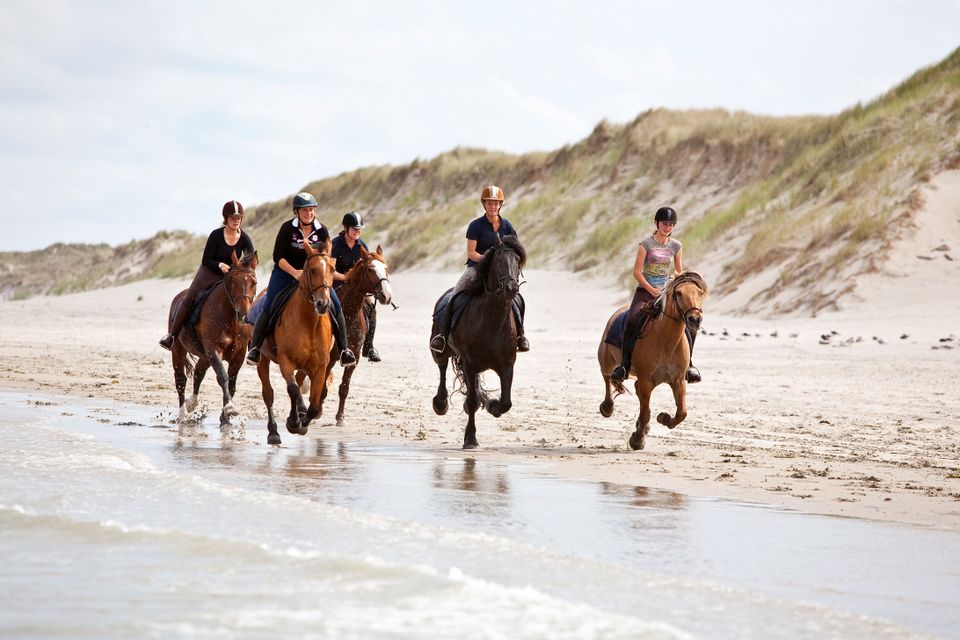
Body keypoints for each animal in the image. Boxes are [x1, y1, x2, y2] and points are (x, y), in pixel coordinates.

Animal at [167, 251, 258, 426]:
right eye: (233, 281)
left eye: (254, 282)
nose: (243, 315)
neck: (231, 320)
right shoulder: (214, 350)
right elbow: (223, 377)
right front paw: (229, 408)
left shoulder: (238, 355)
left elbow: (232, 384)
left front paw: (226, 418)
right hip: (178, 350)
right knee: (180, 380)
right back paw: (182, 415)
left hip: (204, 356)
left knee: (198, 373)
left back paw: (192, 403)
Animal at [254, 240, 336, 445]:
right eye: (312, 270)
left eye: (332, 268)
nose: (323, 304)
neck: (309, 323)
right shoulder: (286, 361)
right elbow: (291, 389)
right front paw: (293, 423)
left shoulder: (320, 368)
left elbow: (314, 405)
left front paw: (302, 423)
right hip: (263, 359)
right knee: (269, 394)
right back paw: (273, 432)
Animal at [319, 244, 393, 427]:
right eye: (370, 268)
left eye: (386, 268)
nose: (387, 296)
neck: (347, 315)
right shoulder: (330, 357)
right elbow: (322, 384)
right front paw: (316, 411)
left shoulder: (354, 356)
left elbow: (344, 388)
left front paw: (340, 418)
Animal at [430, 234, 526, 449]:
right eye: (498, 260)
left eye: (517, 261)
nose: (512, 288)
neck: (493, 318)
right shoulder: (470, 363)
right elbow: (473, 401)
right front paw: (470, 439)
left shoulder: (507, 364)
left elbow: (506, 402)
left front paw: (493, 406)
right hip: (440, 351)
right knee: (441, 368)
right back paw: (440, 403)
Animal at [597, 271, 708, 450]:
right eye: (678, 293)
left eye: (699, 293)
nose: (695, 319)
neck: (666, 341)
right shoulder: (646, 382)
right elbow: (645, 412)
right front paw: (637, 440)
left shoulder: (678, 381)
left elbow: (681, 413)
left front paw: (663, 418)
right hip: (606, 360)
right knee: (607, 378)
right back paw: (607, 407)